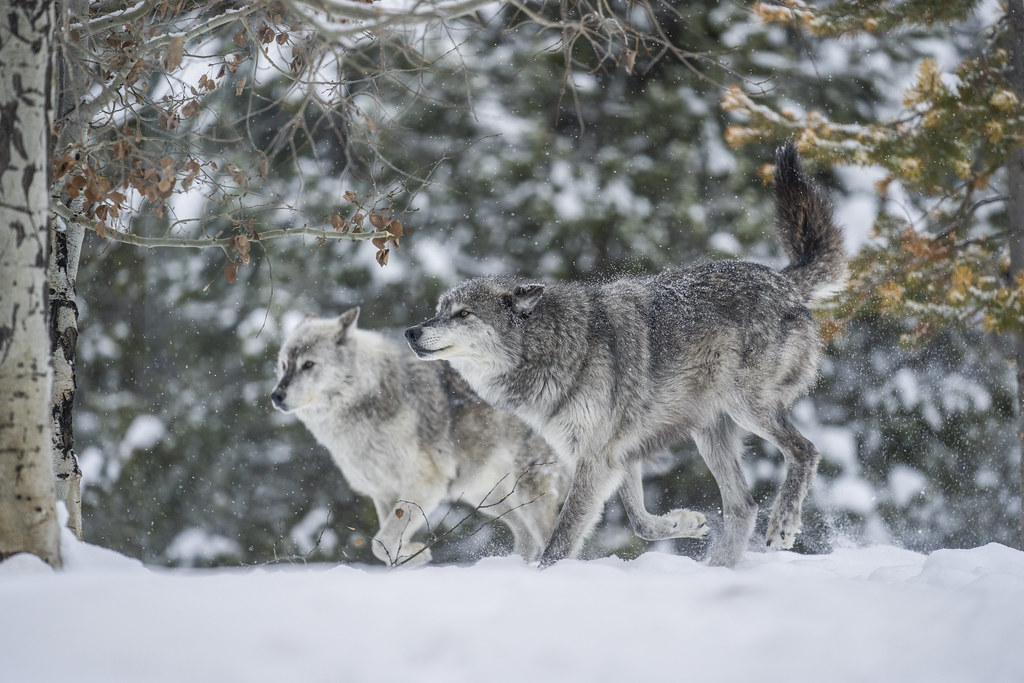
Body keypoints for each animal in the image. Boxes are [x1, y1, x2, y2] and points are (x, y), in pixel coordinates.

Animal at [271, 307, 567, 566]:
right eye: (284, 365)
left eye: (308, 365)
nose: (276, 395)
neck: (367, 399)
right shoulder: (384, 493)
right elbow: (383, 544)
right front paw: (409, 559)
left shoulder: (424, 485)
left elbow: (381, 540)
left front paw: (417, 554)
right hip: (487, 498)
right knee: (527, 537)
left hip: (526, 494)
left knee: (549, 535)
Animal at [405, 142, 846, 567]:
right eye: (439, 309)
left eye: (463, 314)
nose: (411, 332)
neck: (557, 348)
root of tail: (783, 281)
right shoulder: (619, 456)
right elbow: (640, 523)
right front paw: (683, 523)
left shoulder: (596, 459)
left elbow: (560, 541)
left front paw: (546, 577)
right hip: (711, 433)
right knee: (743, 506)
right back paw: (717, 569)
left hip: (746, 407)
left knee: (805, 452)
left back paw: (782, 525)